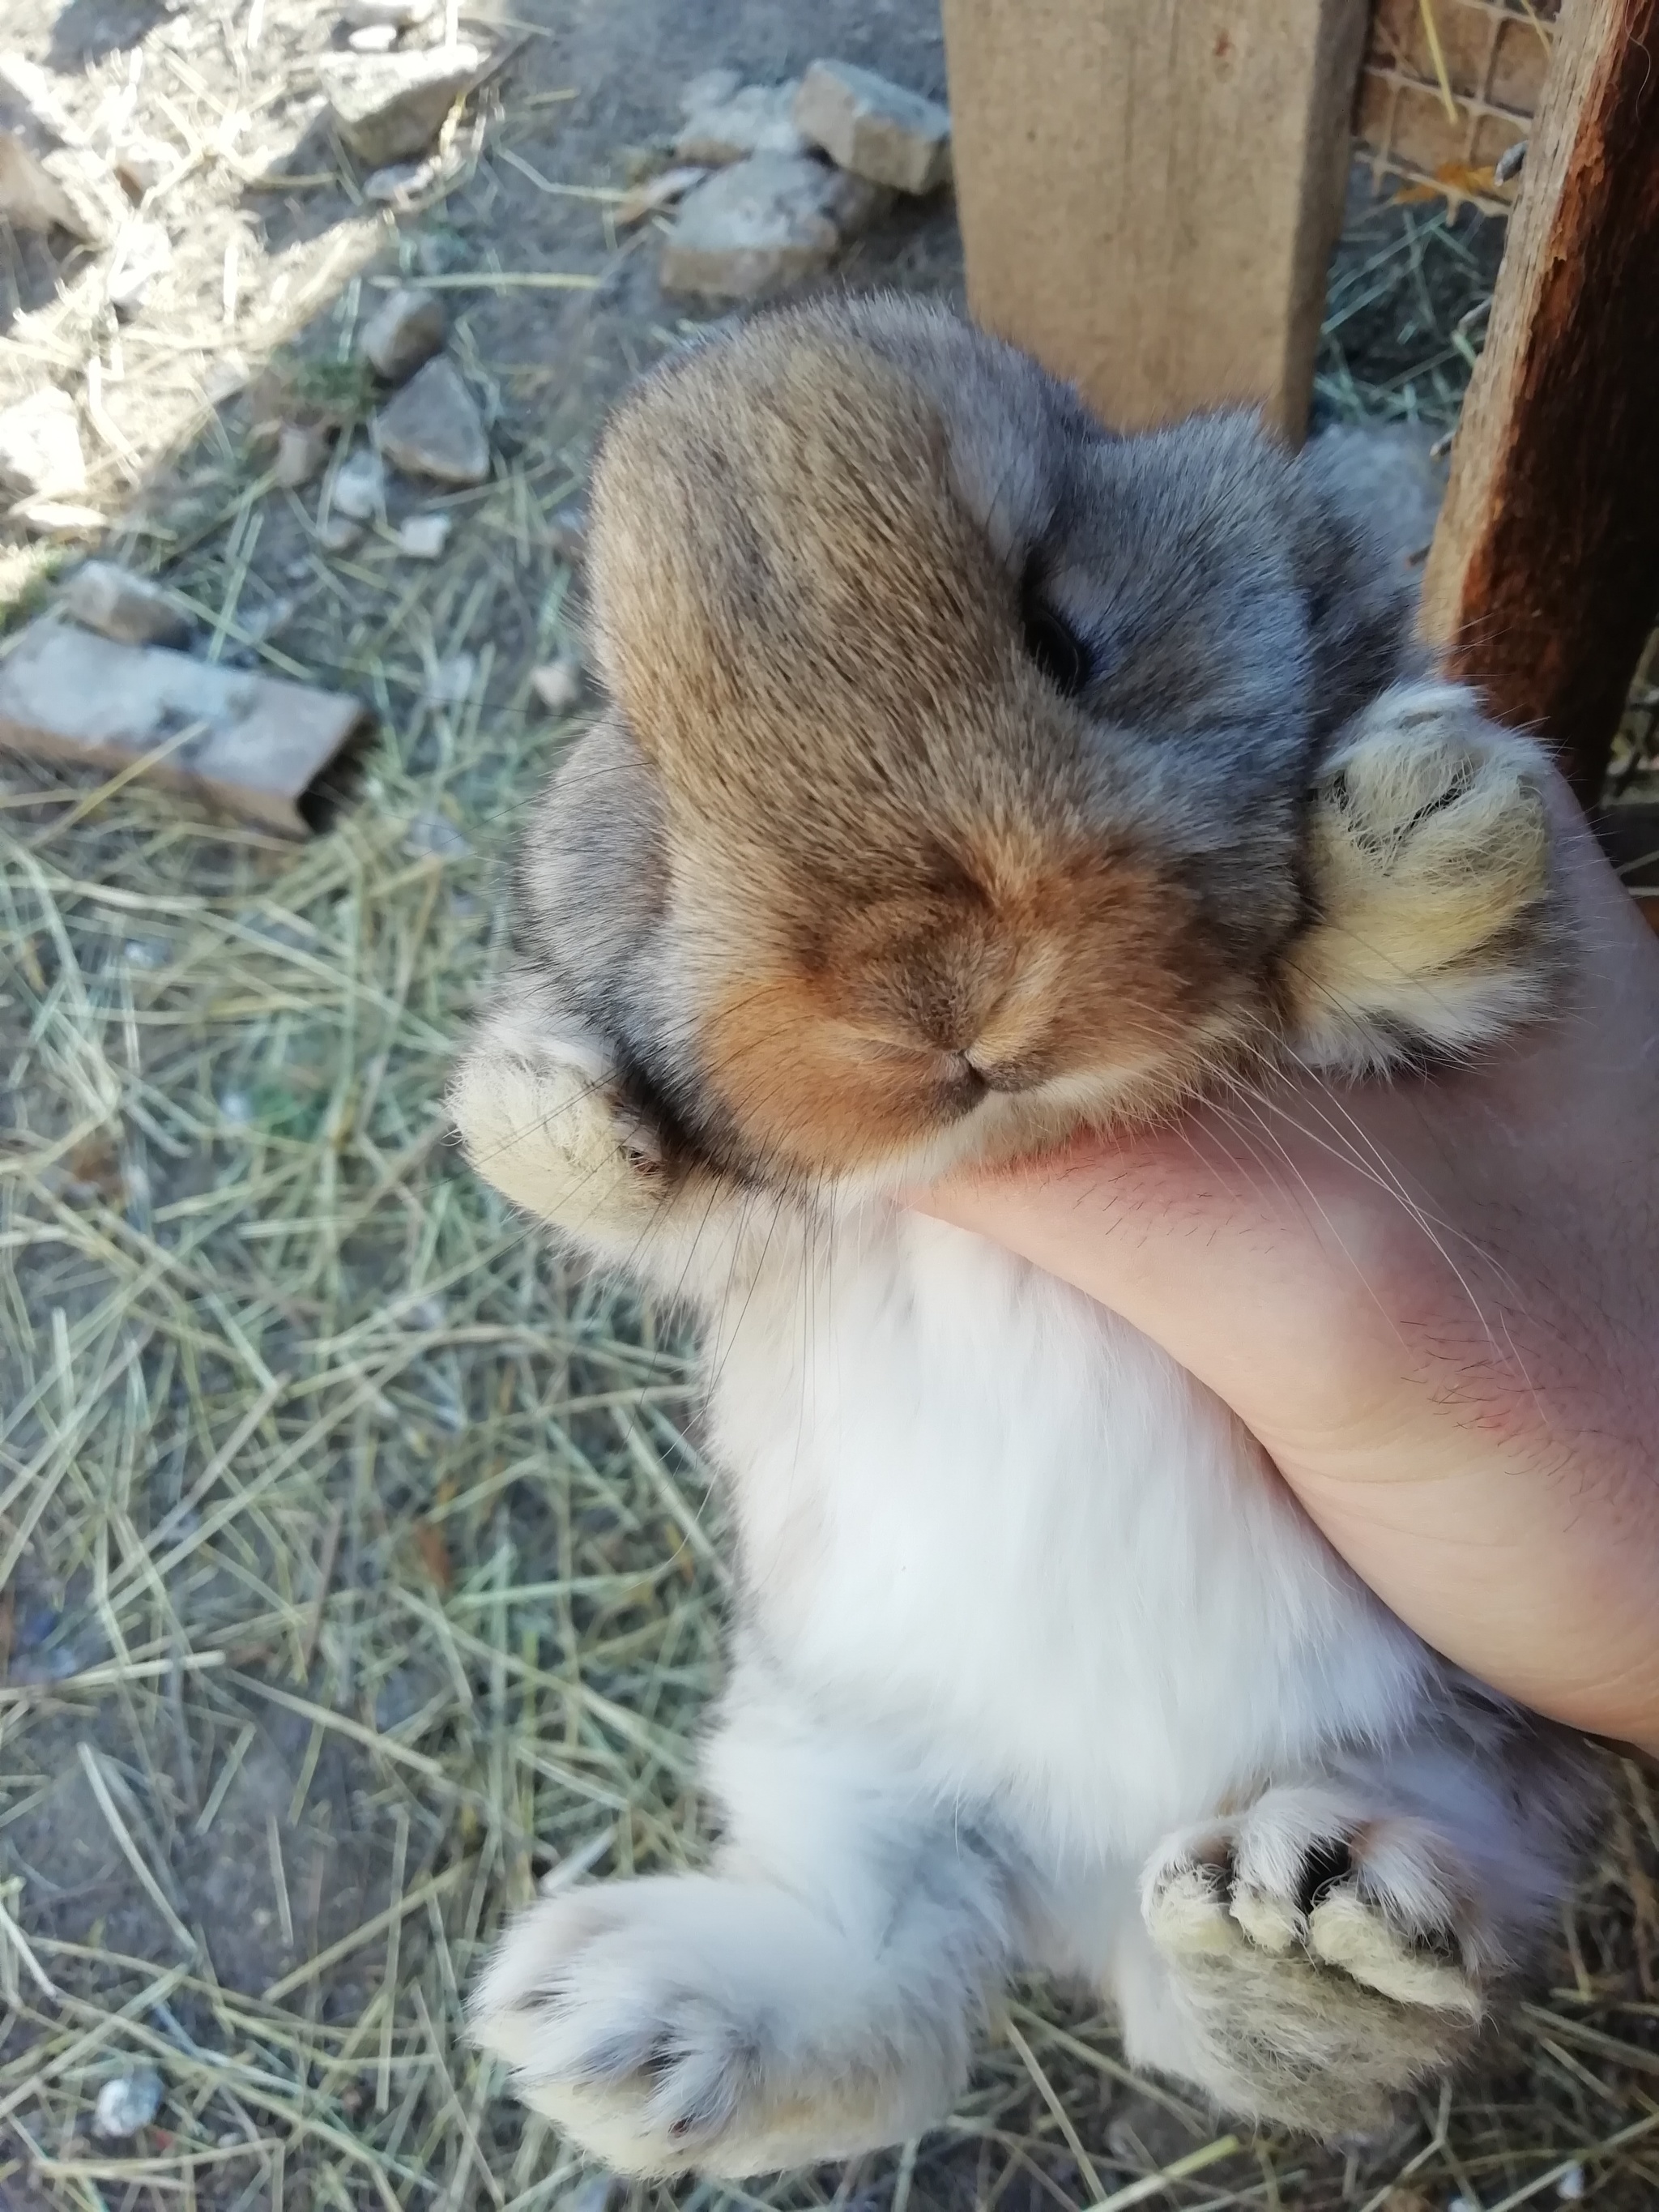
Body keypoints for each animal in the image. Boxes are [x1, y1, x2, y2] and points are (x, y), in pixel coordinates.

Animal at [455, 294, 1601, 2176]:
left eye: (1062, 635)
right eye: (657, 773)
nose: (934, 989)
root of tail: (1084, 1875)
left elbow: (1397, 974)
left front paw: (1419, 820)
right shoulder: (785, 1243)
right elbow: (660, 1200)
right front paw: (531, 1098)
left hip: (1459, 1764)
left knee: (1277, 2040)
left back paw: (1304, 1938)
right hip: (821, 1748)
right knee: (898, 1986)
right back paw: (604, 2026)